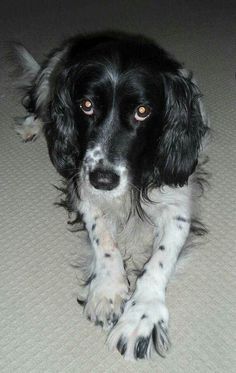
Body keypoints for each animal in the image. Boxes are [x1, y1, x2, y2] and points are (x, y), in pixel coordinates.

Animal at [12, 32, 208, 360]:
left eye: (142, 111)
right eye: (86, 105)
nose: (103, 180)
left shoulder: (177, 200)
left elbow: (160, 259)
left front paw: (142, 315)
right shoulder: (82, 183)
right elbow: (103, 238)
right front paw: (107, 289)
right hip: (50, 77)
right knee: (40, 104)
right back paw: (32, 125)